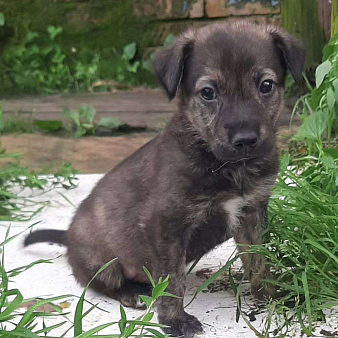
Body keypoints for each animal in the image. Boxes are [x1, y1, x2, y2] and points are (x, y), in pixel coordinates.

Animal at [23, 22, 304, 336]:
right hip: (100, 261)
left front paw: (270, 294)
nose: (245, 140)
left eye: (266, 86)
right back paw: (132, 292)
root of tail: (68, 237)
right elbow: (171, 280)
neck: (225, 166)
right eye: (208, 93)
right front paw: (174, 319)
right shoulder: (165, 225)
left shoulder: (252, 212)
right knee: (101, 283)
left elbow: (258, 260)